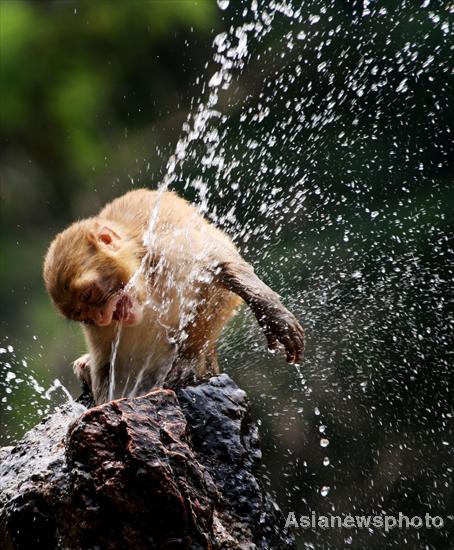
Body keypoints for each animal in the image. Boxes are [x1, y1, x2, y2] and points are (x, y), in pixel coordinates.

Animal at [43, 191, 306, 406]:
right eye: (82, 315)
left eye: (88, 295)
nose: (99, 316)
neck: (145, 281)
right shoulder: (102, 331)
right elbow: (107, 364)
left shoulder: (169, 250)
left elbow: (219, 268)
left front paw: (273, 315)